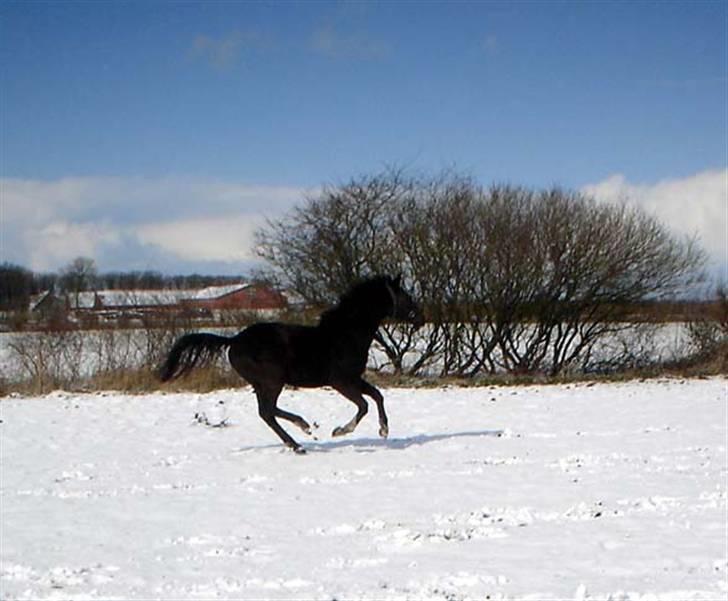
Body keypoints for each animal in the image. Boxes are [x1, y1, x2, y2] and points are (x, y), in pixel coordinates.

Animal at [156, 274, 424, 452]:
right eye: (405, 296)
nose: (420, 318)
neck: (346, 335)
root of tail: (234, 340)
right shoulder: (341, 381)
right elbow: (364, 405)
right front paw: (340, 431)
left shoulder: (354, 379)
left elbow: (377, 396)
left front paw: (384, 430)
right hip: (272, 381)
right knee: (268, 411)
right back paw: (301, 434)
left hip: (263, 383)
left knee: (267, 413)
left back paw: (299, 437)